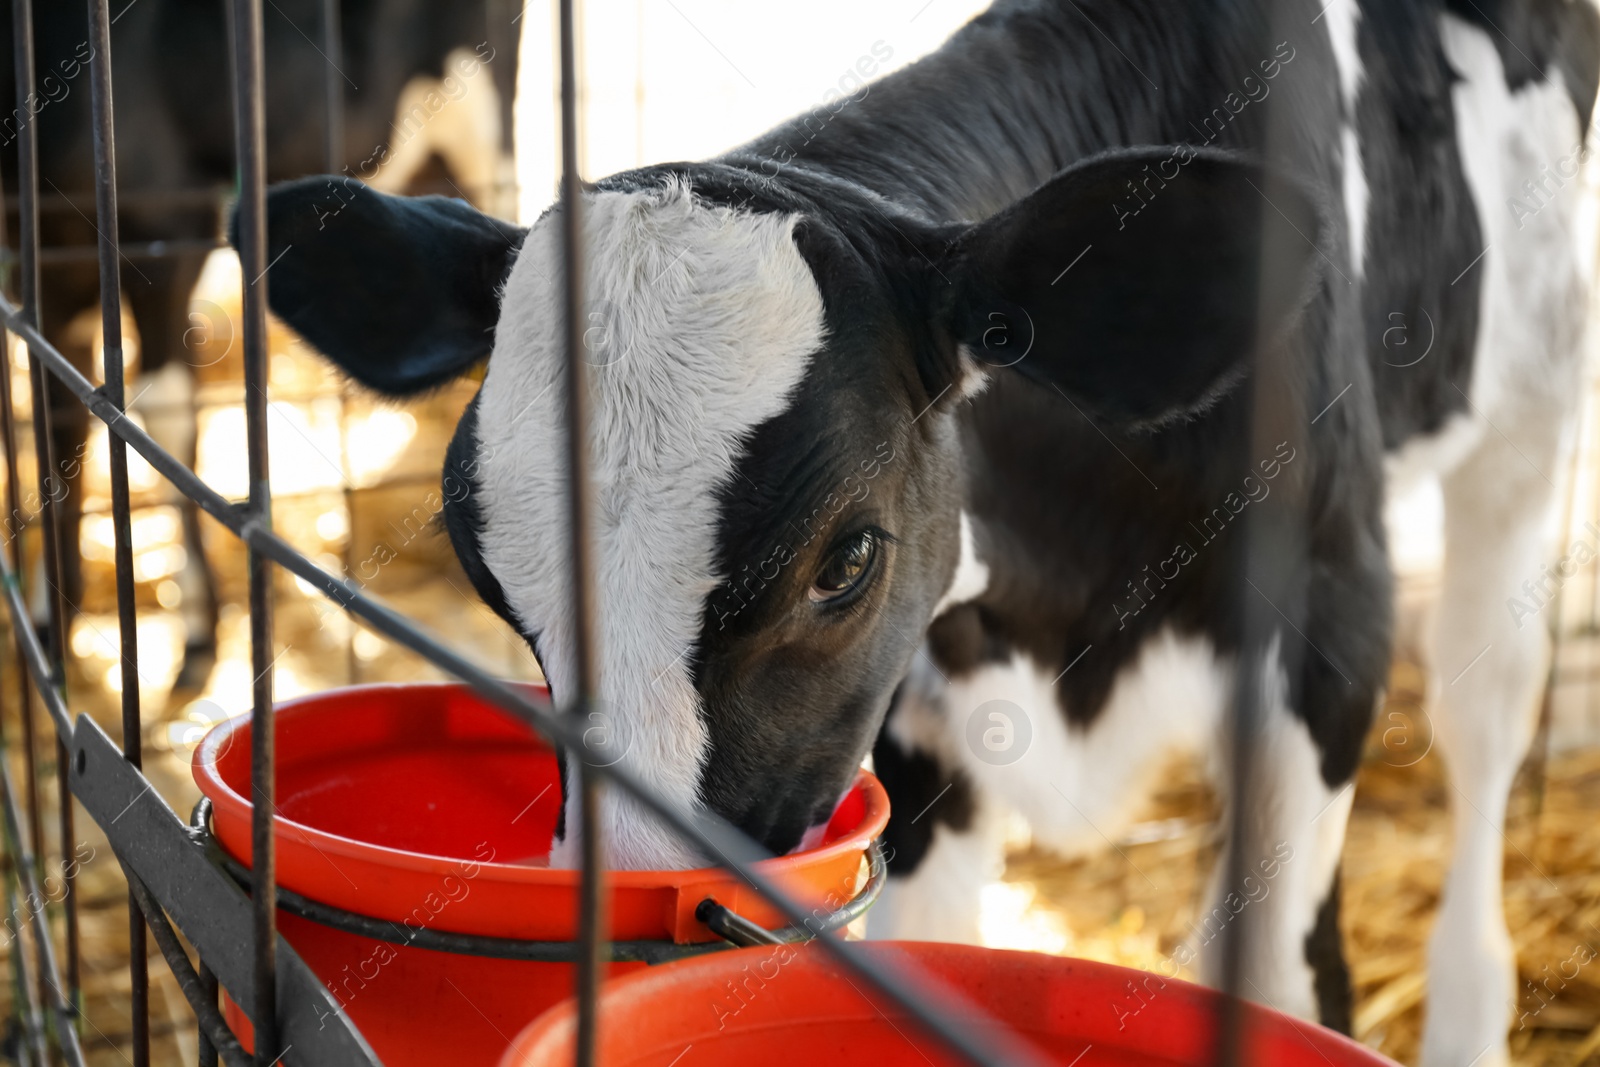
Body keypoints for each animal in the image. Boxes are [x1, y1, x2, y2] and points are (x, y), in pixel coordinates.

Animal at [256, 4, 1593, 1062]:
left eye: (845, 560)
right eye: (486, 568)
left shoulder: (1326, 624)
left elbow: (1265, 969)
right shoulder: (917, 700)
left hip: (1531, 399)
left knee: (1484, 702)